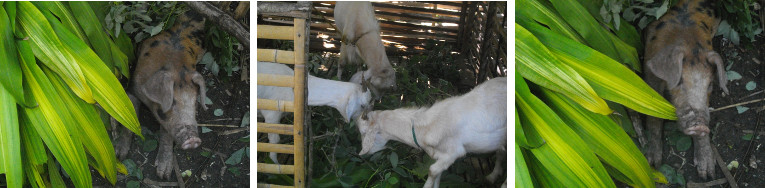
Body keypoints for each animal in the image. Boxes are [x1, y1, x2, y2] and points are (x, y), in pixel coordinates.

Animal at [112, 10, 207, 179]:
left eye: (195, 102)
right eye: (172, 102)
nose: (193, 140)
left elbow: (166, 133)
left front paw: (163, 175)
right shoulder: (132, 88)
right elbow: (130, 119)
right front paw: (120, 155)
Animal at [356, 76, 508, 188]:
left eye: (363, 132)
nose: (363, 155)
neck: (426, 127)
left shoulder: (454, 152)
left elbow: (432, 171)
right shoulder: (440, 156)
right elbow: (437, 175)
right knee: (501, 152)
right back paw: (492, 176)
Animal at [640, 0, 724, 178]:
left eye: (710, 85)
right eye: (679, 82)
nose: (700, 125)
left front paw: (707, 174)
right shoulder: (650, 73)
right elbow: (653, 116)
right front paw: (654, 164)